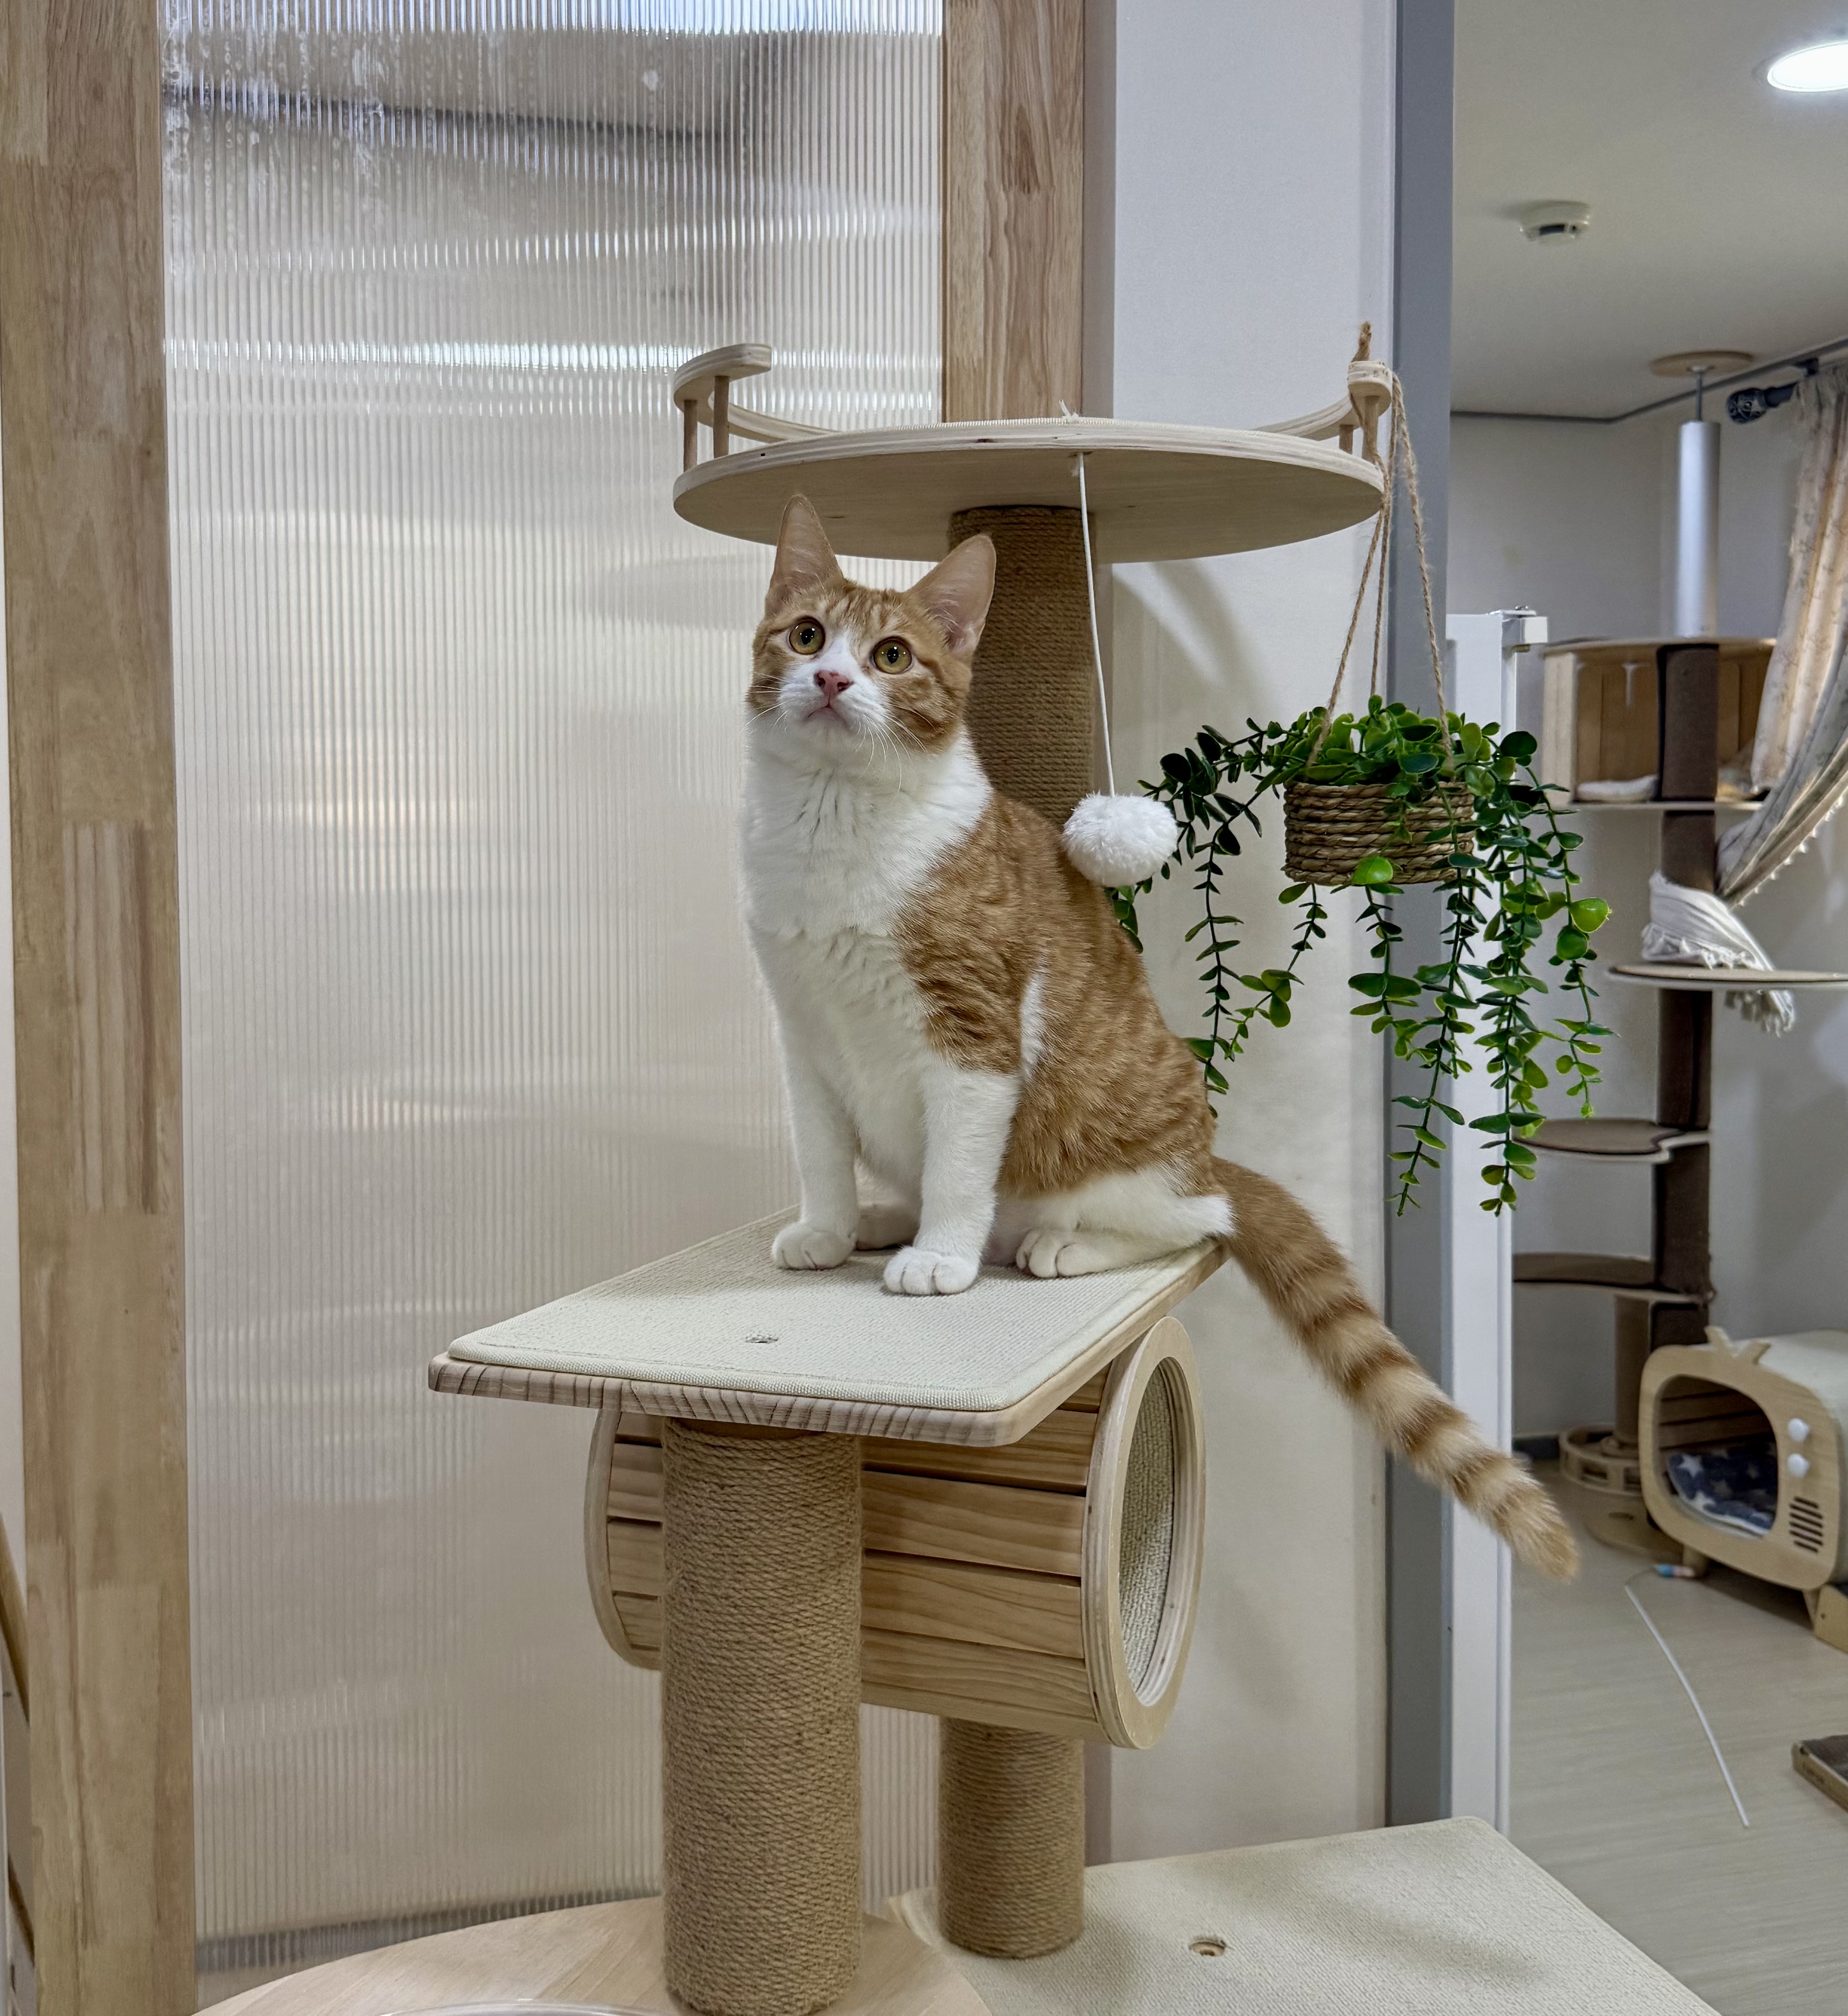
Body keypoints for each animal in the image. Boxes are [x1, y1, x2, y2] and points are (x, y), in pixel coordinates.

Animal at [740, 495, 1577, 1578]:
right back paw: (891, 1214)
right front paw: (832, 1226)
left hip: (1125, 1160)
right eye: (805, 635)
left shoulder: (973, 1033)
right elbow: (820, 1154)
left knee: (1191, 1224)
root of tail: (1208, 1152)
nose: (834, 678)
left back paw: (1051, 1242)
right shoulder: (801, 1029)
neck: (833, 828)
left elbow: (964, 1167)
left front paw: (942, 1258)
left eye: (891, 654)